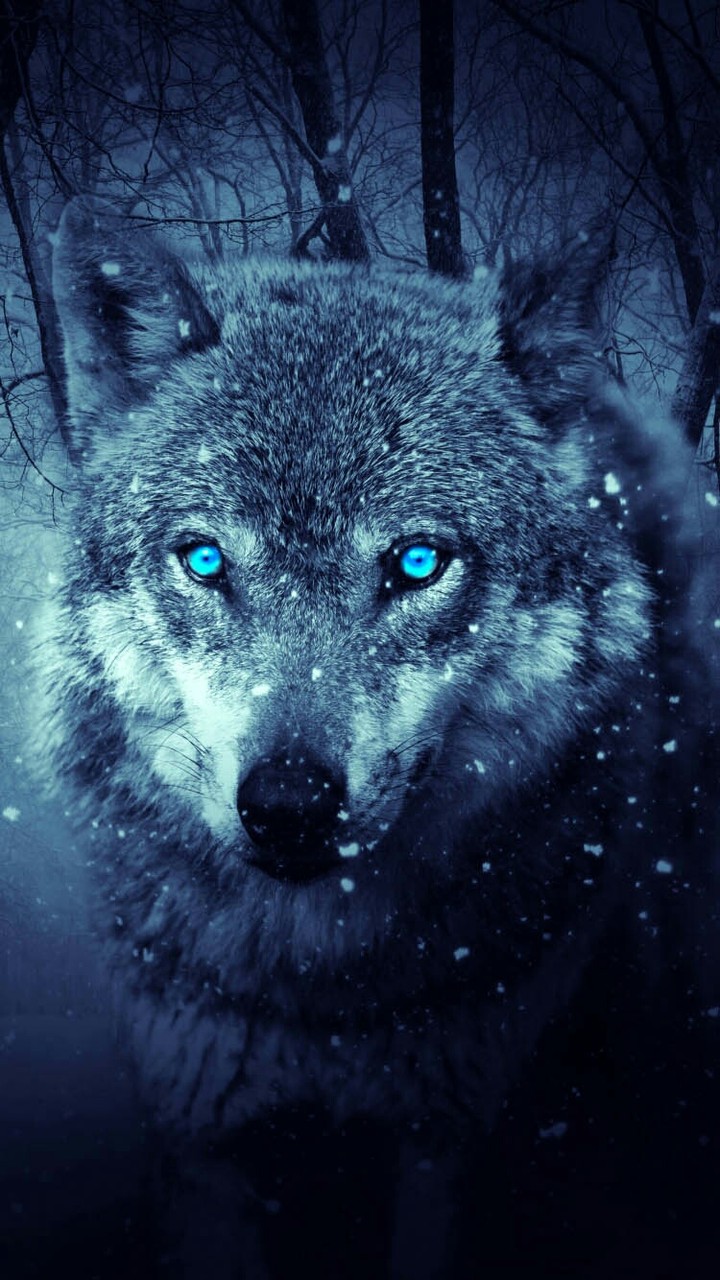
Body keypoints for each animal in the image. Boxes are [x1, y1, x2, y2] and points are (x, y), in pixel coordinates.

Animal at [33, 196, 719, 1277]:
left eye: (418, 561)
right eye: (204, 559)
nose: (289, 805)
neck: (322, 997)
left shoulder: (454, 1134)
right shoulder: (201, 1131)